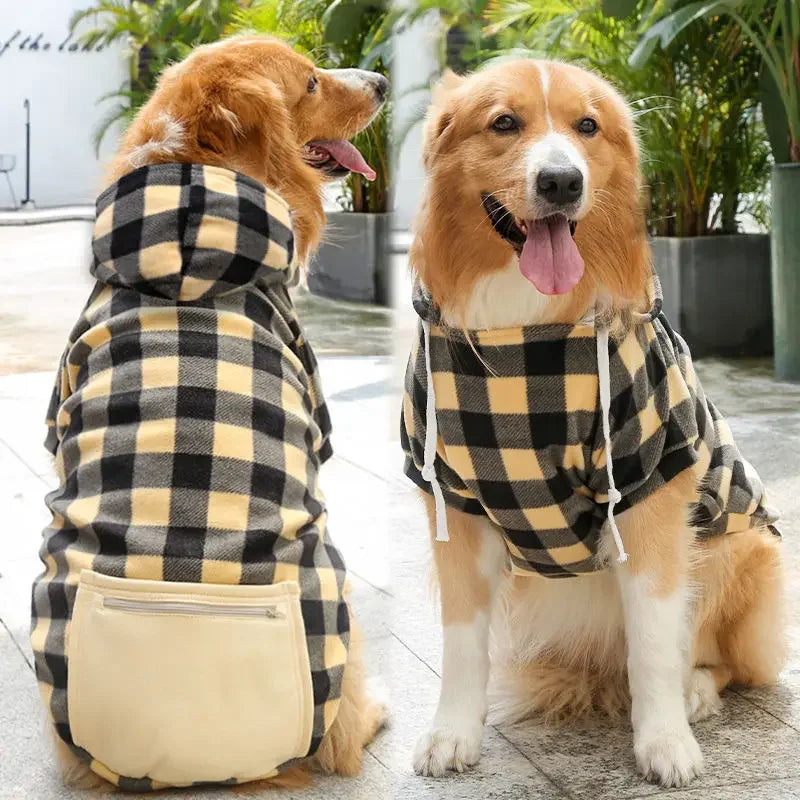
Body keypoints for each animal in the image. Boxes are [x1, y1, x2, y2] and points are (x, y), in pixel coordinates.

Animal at [404, 61, 784, 788]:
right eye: (504, 122)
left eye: (587, 126)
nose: (562, 182)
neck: (526, 339)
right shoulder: (453, 498)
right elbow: (463, 642)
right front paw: (452, 733)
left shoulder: (648, 487)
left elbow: (655, 641)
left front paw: (665, 742)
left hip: (740, 545)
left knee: (720, 661)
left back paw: (696, 691)